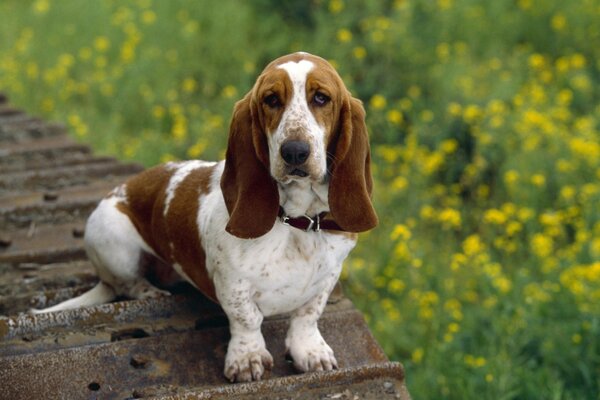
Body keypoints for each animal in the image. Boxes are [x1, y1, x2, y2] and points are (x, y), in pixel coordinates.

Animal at [34, 52, 376, 382]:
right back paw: (151, 291)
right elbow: (247, 318)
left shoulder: (328, 276)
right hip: (113, 241)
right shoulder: (231, 282)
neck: (295, 223)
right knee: (126, 284)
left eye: (321, 98)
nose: (294, 152)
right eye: (271, 99)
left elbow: (307, 315)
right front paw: (247, 358)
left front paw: (310, 351)